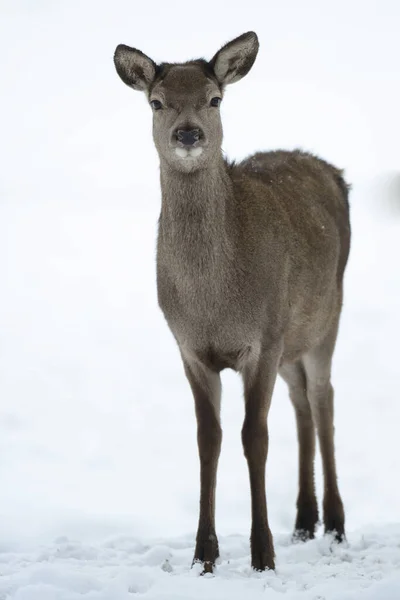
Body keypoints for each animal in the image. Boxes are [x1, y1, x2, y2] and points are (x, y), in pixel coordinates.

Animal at [113, 31, 350, 572]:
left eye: (214, 99)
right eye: (156, 102)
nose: (188, 134)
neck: (214, 303)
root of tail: (332, 170)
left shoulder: (260, 340)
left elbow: (253, 438)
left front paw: (262, 553)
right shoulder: (191, 349)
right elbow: (210, 439)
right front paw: (204, 555)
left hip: (325, 318)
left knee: (323, 398)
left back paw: (335, 524)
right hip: (291, 337)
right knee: (301, 402)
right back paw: (303, 522)